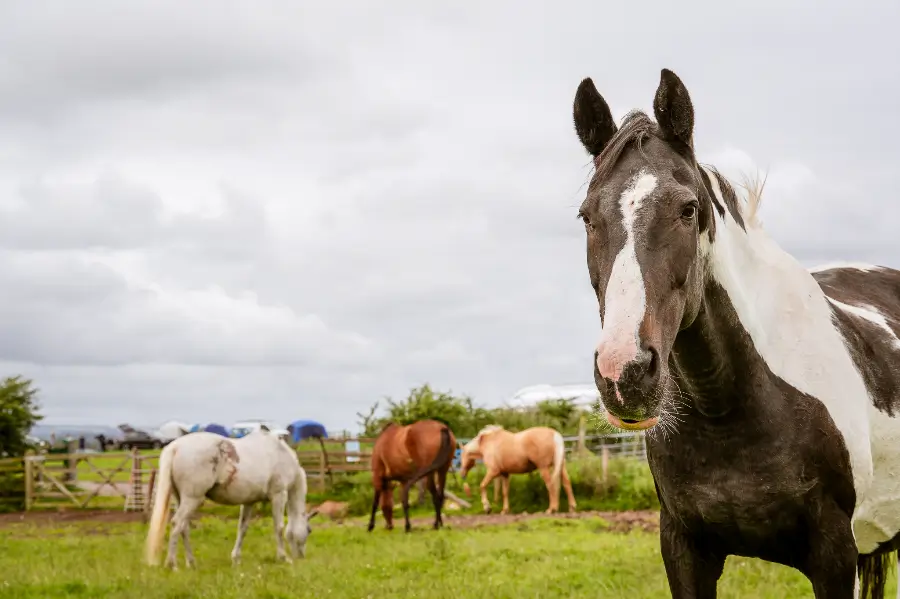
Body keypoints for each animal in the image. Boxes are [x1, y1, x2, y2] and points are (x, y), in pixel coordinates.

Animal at [144, 429, 318, 569]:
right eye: (309, 530)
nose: (301, 557)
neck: (281, 454)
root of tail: (175, 447)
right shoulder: (279, 495)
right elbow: (279, 527)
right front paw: (283, 557)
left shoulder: (249, 502)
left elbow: (242, 528)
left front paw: (236, 559)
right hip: (192, 499)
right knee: (177, 523)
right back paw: (172, 564)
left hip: (181, 499)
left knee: (183, 527)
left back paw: (191, 562)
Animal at [571, 67, 900, 598]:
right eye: (586, 216)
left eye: (688, 209)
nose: (625, 373)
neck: (729, 406)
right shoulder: (683, 548)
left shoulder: (836, 556)